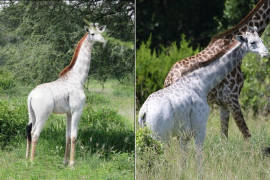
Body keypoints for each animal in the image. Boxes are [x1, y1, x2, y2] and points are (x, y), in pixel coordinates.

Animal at [24, 23, 106, 167]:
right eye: (92, 33)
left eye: (100, 32)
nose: (103, 41)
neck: (77, 78)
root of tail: (31, 96)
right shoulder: (77, 110)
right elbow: (73, 136)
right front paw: (72, 164)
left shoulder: (68, 113)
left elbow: (67, 136)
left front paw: (65, 161)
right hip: (43, 114)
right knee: (35, 134)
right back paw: (33, 162)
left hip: (32, 114)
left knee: (29, 131)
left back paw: (27, 158)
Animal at [138, 30, 268, 170]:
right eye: (252, 42)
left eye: (261, 40)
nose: (266, 53)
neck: (202, 82)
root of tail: (144, 111)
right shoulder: (200, 127)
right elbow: (199, 157)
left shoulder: (184, 135)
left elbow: (183, 160)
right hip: (160, 137)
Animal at [163, 0, 270, 139]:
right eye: (253, 42)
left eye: (261, 40)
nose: (266, 54)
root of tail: (168, 79)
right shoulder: (232, 97)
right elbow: (246, 134)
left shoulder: (223, 103)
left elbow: (224, 136)